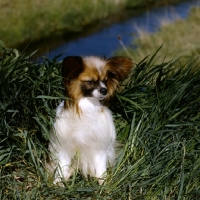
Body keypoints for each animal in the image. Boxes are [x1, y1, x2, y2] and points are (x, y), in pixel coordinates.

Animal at [48, 55, 133, 184]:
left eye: (105, 81)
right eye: (90, 82)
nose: (104, 90)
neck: (87, 107)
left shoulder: (98, 148)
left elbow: (101, 170)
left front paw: (104, 185)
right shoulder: (65, 148)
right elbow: (61, 169)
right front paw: (57, 184)